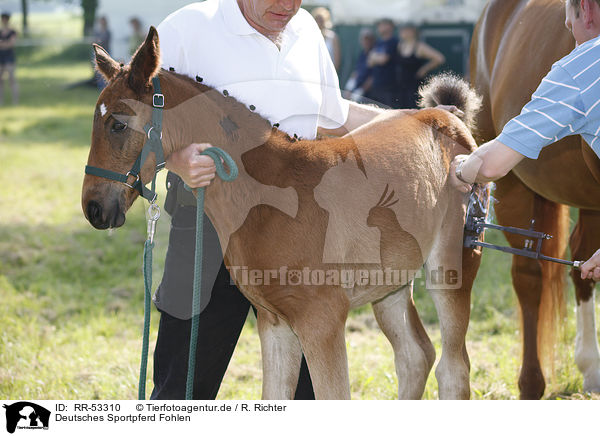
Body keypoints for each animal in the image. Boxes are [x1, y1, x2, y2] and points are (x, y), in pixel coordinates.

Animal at [83, 28, 482, 398]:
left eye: (118, 124)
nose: (93, 208)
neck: (267, 199)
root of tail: (447, 118)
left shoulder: (322, 321)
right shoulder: (274, 322)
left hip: (452, 267)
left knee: (454, 369)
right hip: (391, 283)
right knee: (415, 356)